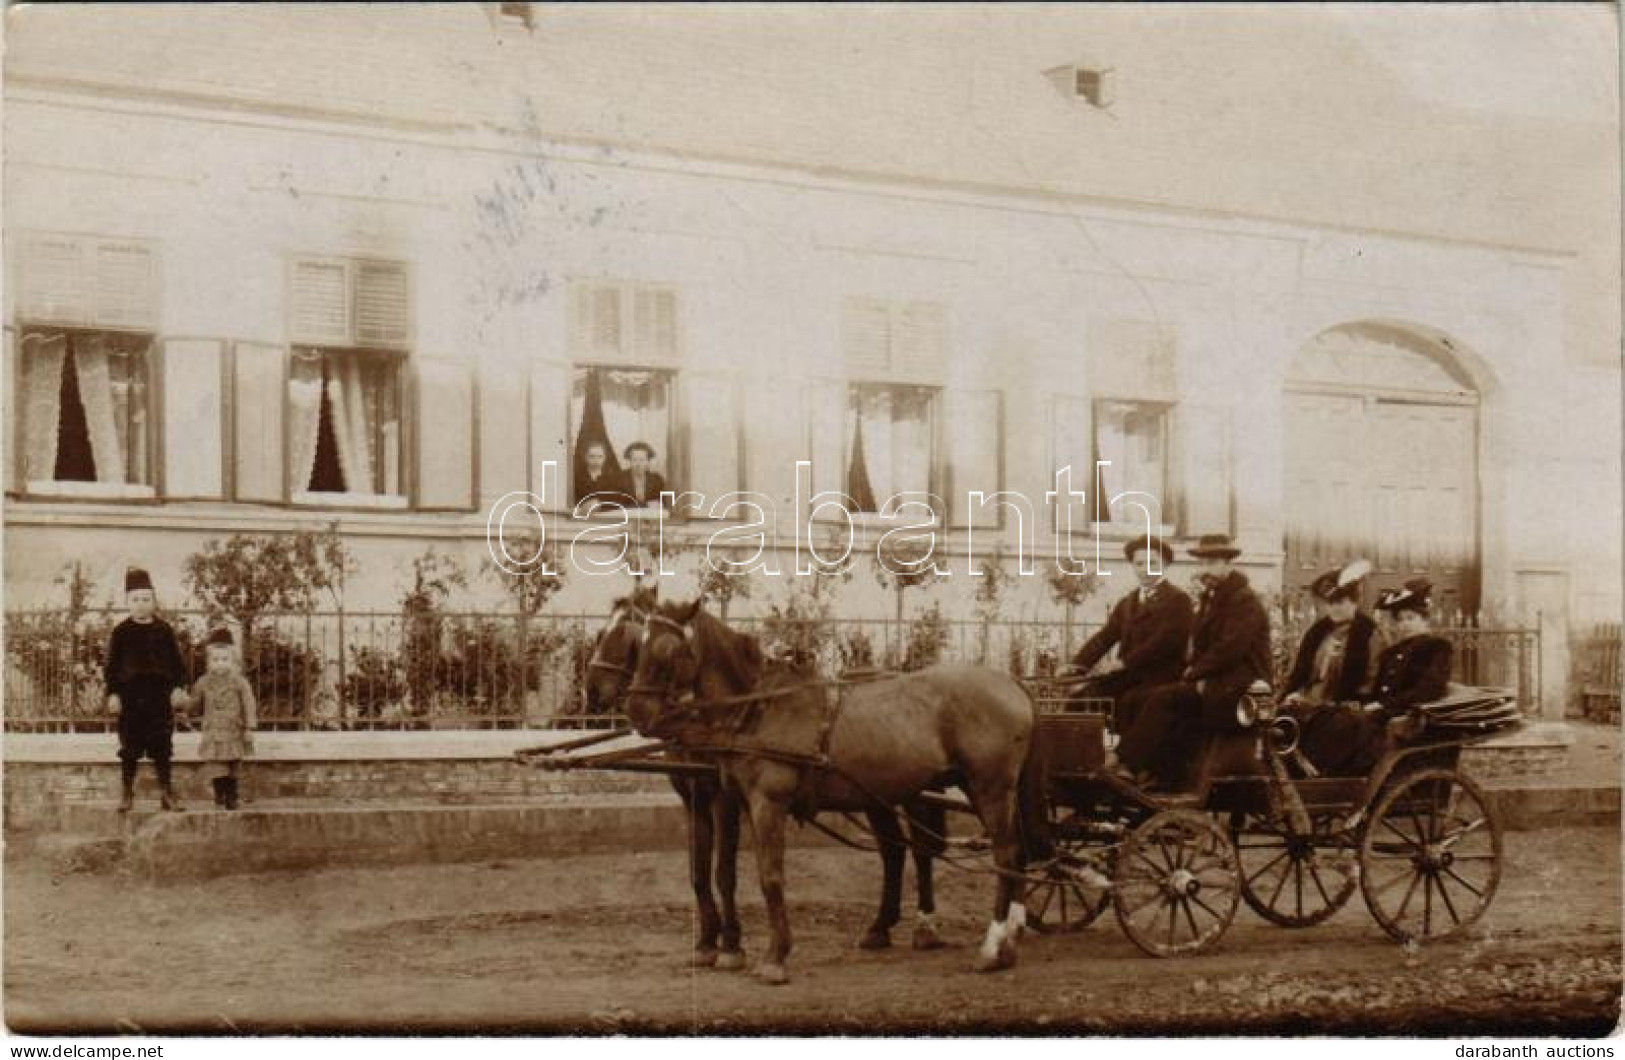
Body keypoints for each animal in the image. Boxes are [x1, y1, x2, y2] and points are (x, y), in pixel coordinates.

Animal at [591, 588, 949, 968]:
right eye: (606, 635)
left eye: (627, 636)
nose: (595, 691)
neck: (747, 709)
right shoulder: (695, 799)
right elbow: (699, 871)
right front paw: (706, 943)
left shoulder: (727, 801)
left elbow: (725, 872)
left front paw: (732, 946)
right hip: (876, 797)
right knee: (893, 850)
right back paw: (880, 927)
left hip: (912, 793)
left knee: (922, 849)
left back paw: (926, 926)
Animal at [627, 601, 1046, 981]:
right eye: (637, 645)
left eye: (668, 650)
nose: (636, 711)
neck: (758, 706)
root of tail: (1011, 681)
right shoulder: (735, 800)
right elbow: (728, 872)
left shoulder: (767, 803)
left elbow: (770, 878)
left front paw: (775, 956)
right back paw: (1003, 936)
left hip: (988, 788)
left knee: (1005, 855)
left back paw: (993, 946)